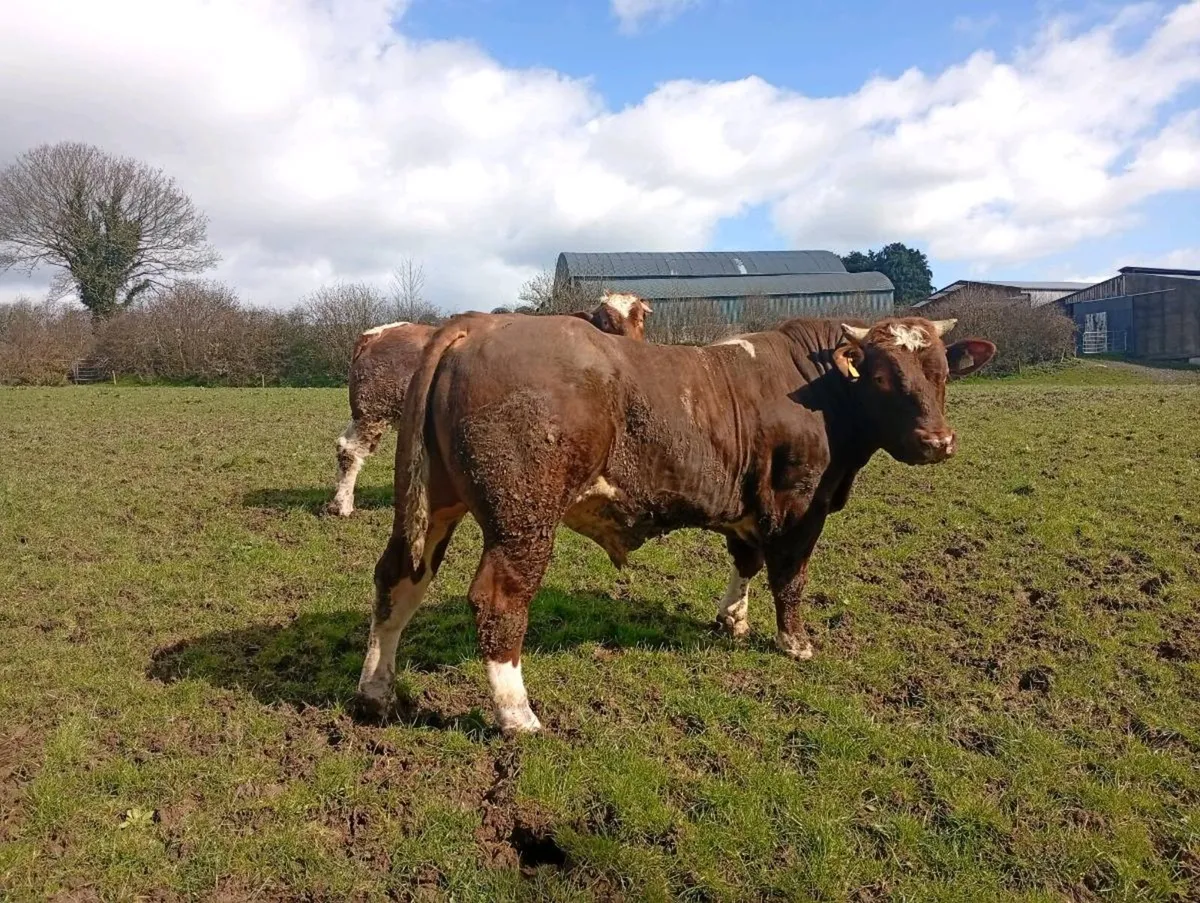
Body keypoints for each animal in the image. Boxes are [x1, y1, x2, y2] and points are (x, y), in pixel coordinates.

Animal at [327, 293, 653, 517]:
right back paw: (342, 505)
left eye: (640, 317)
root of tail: (375, 334)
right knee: (351, 451)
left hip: (364, 412)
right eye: (606, 320)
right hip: (372, 412)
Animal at [353, 314, 995, 733]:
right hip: (522, 518)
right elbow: (789, 579)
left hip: (433, 505)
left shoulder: (748, 506)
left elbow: (746, 561)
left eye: (941, 373)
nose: (937, 442)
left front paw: (733, 620)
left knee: (398, 581)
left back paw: (376, 692)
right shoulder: (798, 506)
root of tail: (479, 322)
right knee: (498, 599)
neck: (818, 391)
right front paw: (796, 644)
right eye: (883, 376)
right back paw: (518, 715)